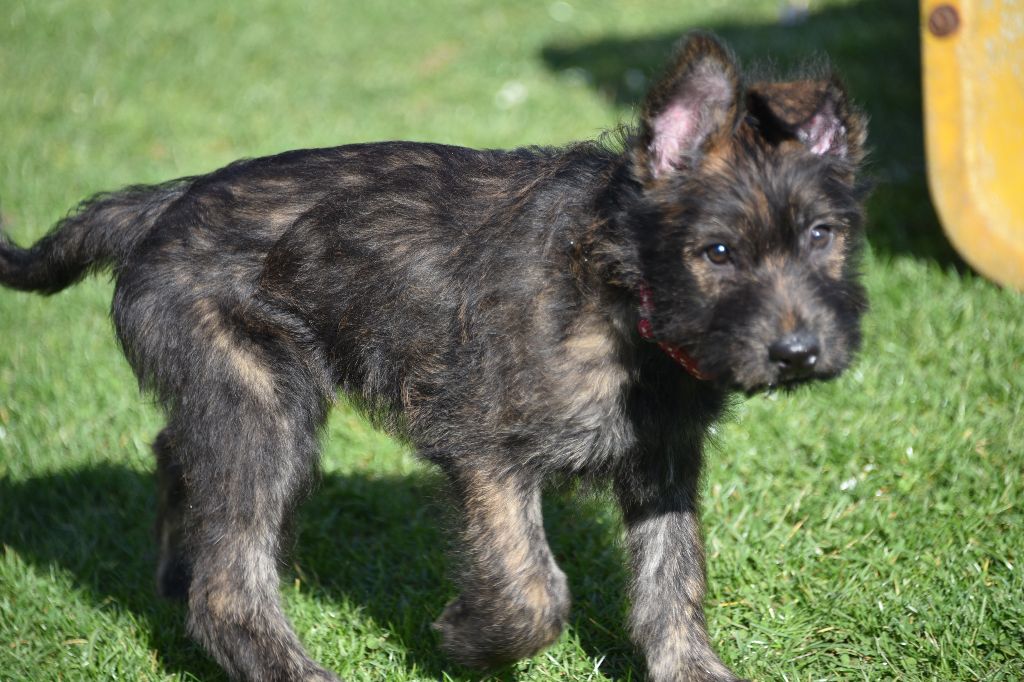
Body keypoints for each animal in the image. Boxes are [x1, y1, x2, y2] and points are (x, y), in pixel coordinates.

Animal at [0, 30, 868, 679]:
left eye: (822, 236)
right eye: (717, 252)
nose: (798, 352)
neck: (623, 292)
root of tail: (163, 203)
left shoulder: (663, 459)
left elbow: (672, 578)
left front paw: (692, 669)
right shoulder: (485, 451)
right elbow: (533, 590)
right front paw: (465, 639)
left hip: (249, 401)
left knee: (179, 462)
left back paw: (173, 575)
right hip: (262, 407)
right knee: (228, 585)